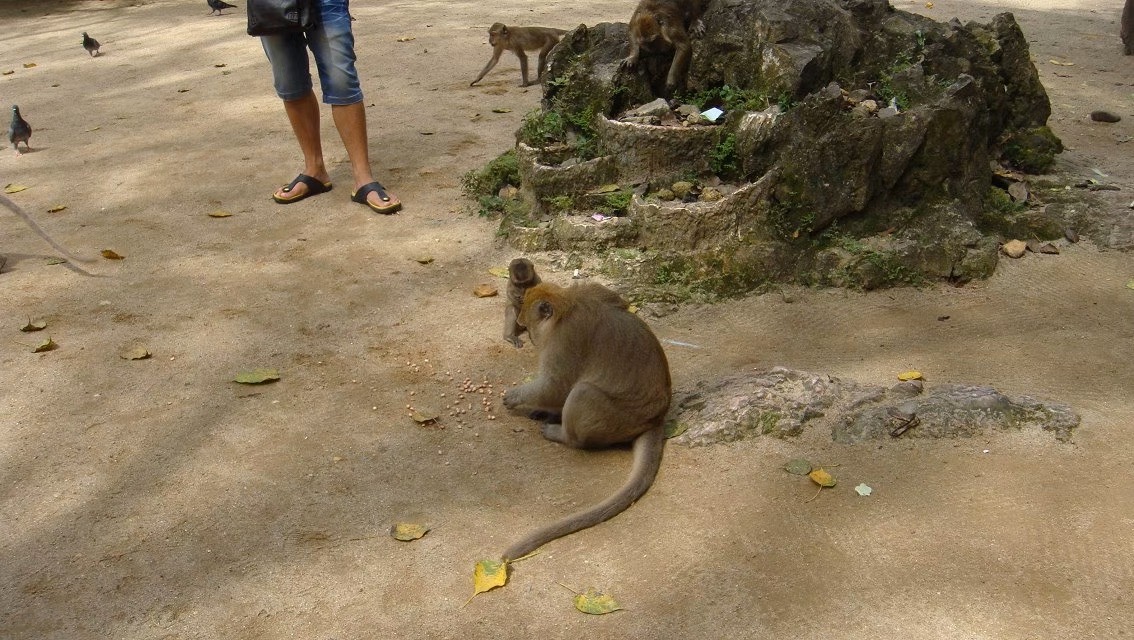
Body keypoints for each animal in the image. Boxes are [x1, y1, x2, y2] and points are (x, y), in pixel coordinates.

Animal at [498, 280, 671, 560]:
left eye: (532, 328)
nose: (532, 339)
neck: (565, 308)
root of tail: (656, 418)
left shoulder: (565, 341)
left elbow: (556, 386)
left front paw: (514, 397)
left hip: (615, 419)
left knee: (582, 392)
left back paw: (562, 435)